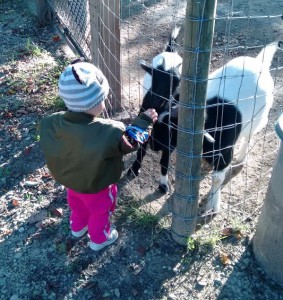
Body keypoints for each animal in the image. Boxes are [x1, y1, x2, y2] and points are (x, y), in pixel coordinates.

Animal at [130, 28, 282, 213]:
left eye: (172, 128)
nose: (154, 145)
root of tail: (259, 62)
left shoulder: (223, 152)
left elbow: (217, 178)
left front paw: (212, 206)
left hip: (258, 117)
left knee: (249, 135)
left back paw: (241, 157)